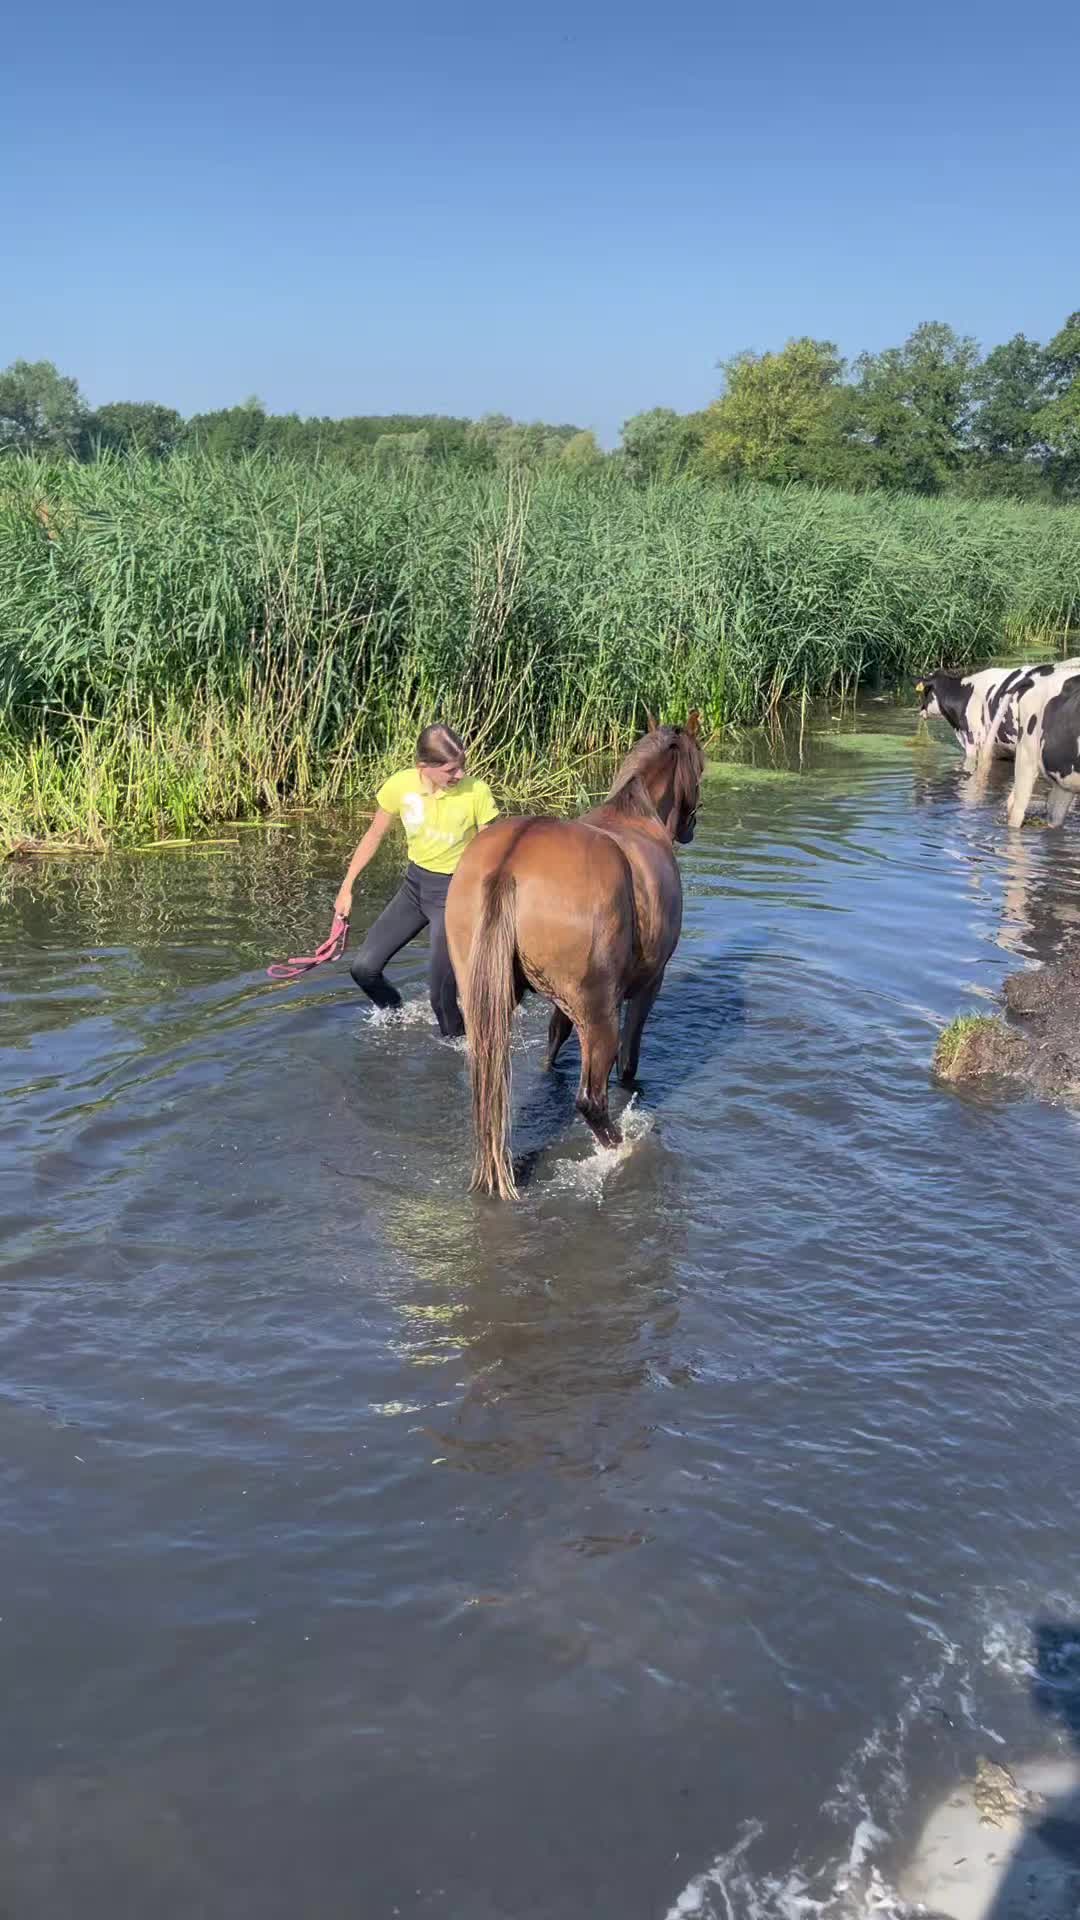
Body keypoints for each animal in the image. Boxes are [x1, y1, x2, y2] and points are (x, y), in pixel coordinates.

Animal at [445, 714, 704, 1198]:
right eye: (702, 765)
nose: (690, 828)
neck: (635, 814)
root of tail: (510, 863)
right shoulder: (649, 984)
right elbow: (629, 1061)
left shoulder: (562, 1001)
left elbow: (553, 1039)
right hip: (599, 1013)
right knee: (591, 1100)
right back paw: (621, 1147)